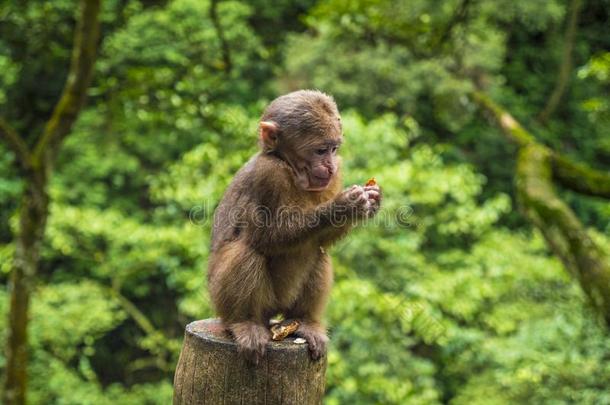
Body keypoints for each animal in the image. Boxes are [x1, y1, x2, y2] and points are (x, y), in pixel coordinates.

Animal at [209, 90, 380, 362]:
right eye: (320, 150)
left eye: (334, 149)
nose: (330, 166)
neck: (292, 170)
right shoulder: (269, 174)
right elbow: (264, 238)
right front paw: (341, 206)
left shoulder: (334, 177)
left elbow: (322, 240)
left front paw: (371, 201)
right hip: (226, 300)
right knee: (246, 252)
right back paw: (245, 322)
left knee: (318, 252)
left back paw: (305, 321)